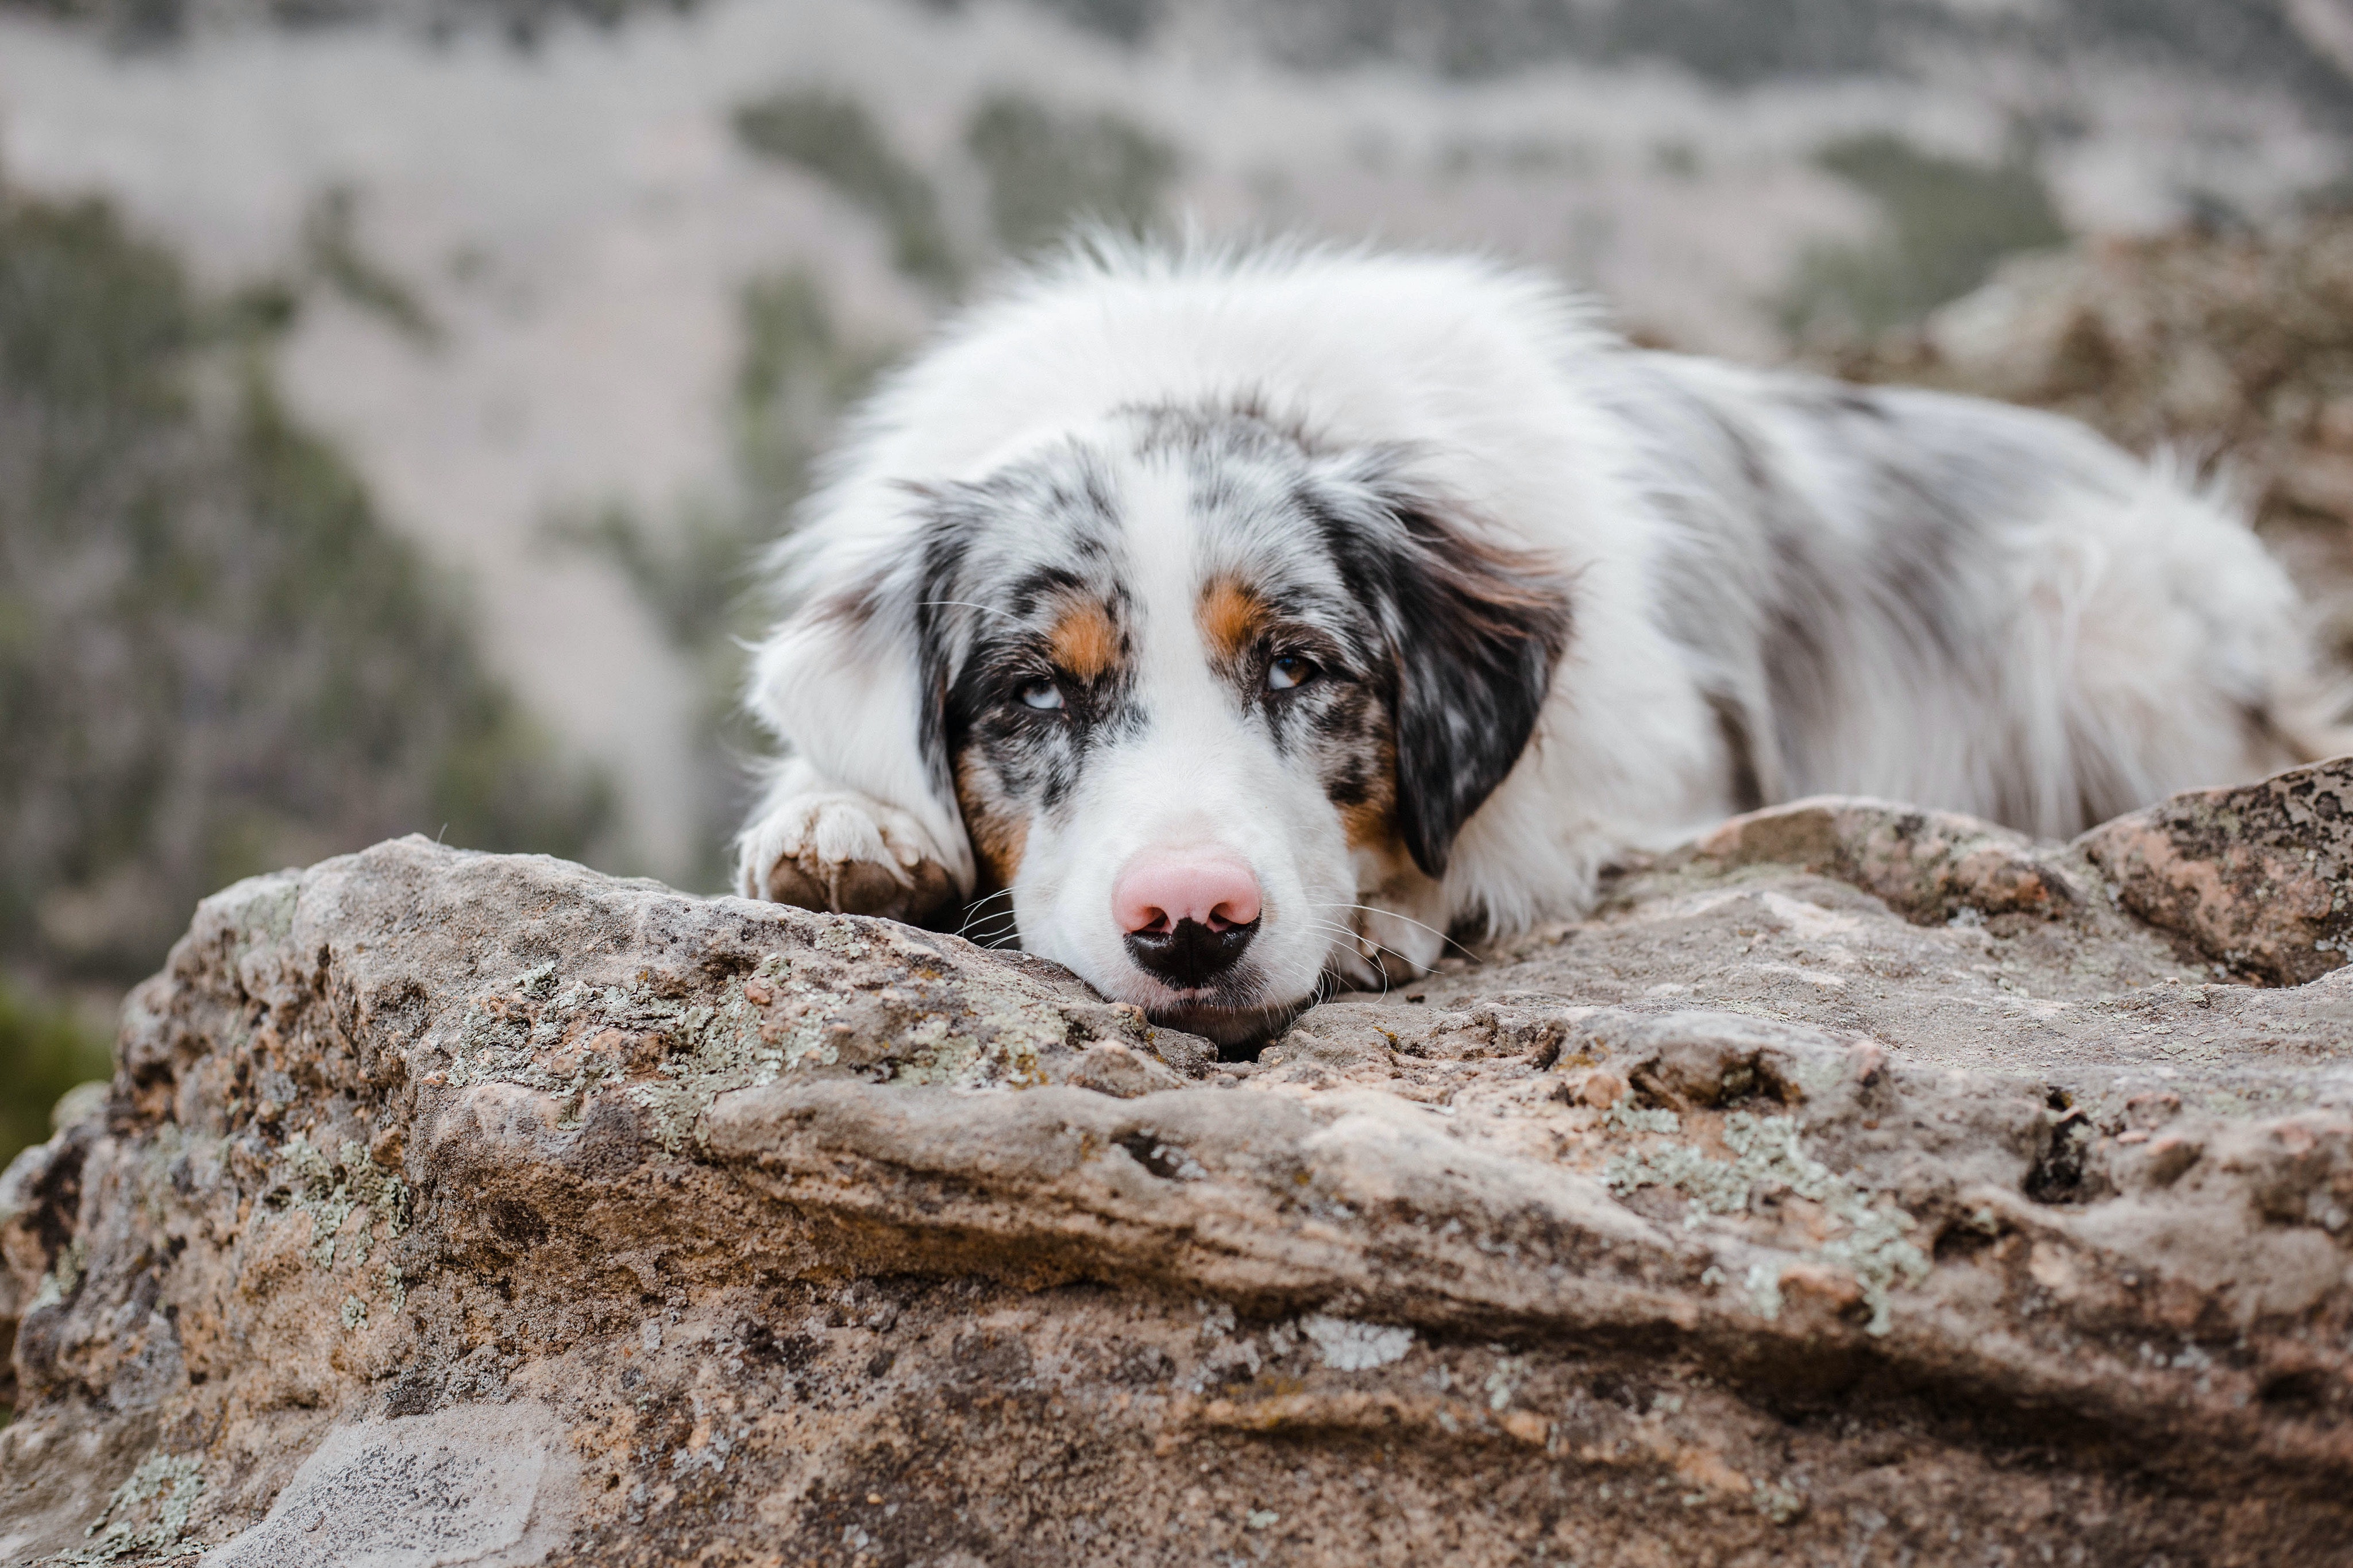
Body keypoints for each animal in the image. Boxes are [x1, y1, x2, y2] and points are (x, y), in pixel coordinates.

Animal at [734, 236, 2334, 1044]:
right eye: (1032, 695)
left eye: (1300, 669)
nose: (1193, 927)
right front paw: (841, 820)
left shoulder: (1665, 762)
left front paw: (1384, 911)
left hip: (2115, 619)